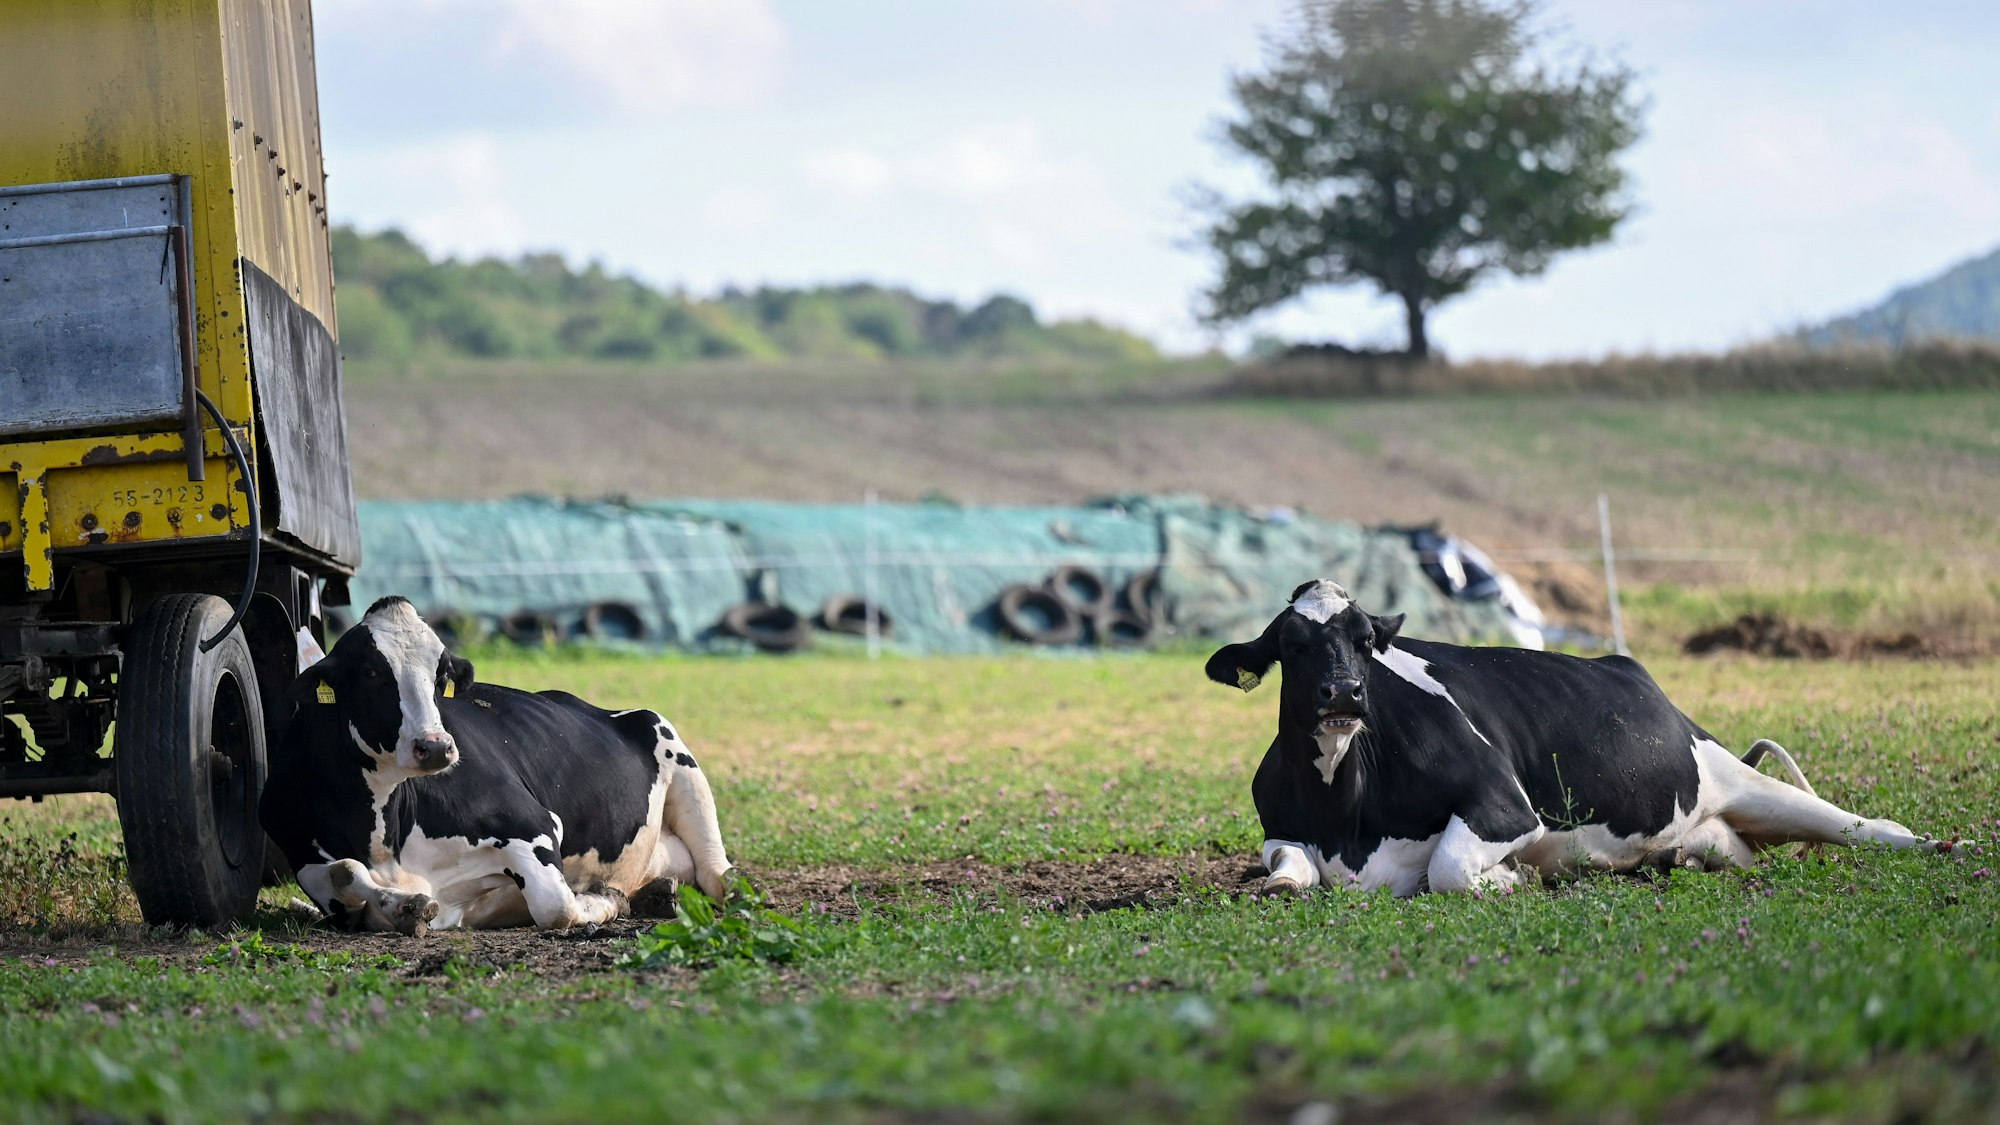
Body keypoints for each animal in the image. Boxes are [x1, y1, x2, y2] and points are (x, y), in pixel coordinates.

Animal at [261, 596, 734, 933]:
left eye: (441, 676)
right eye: (371, 672)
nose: (435, 747)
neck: (384, 833)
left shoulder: (534, 826)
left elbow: (556, 906)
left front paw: (602, 900)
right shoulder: (301, 849)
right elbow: (346, 873)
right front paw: (406, 906)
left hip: (675, 750)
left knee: (718, 875)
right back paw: (656, 893)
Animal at [1206, 580, 1929, 896]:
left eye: (1364, 642)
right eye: (1292, 646)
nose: (1345, 693)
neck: (1346, 817)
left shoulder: (1505, 804)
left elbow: (1448, 868)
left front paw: (1511, 877)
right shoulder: (1280, 827)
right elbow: (1288, 872)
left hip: (1741, 780)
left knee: (1873, 826)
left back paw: (1938, 844)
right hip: (1718, 829)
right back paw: (1677, 859)